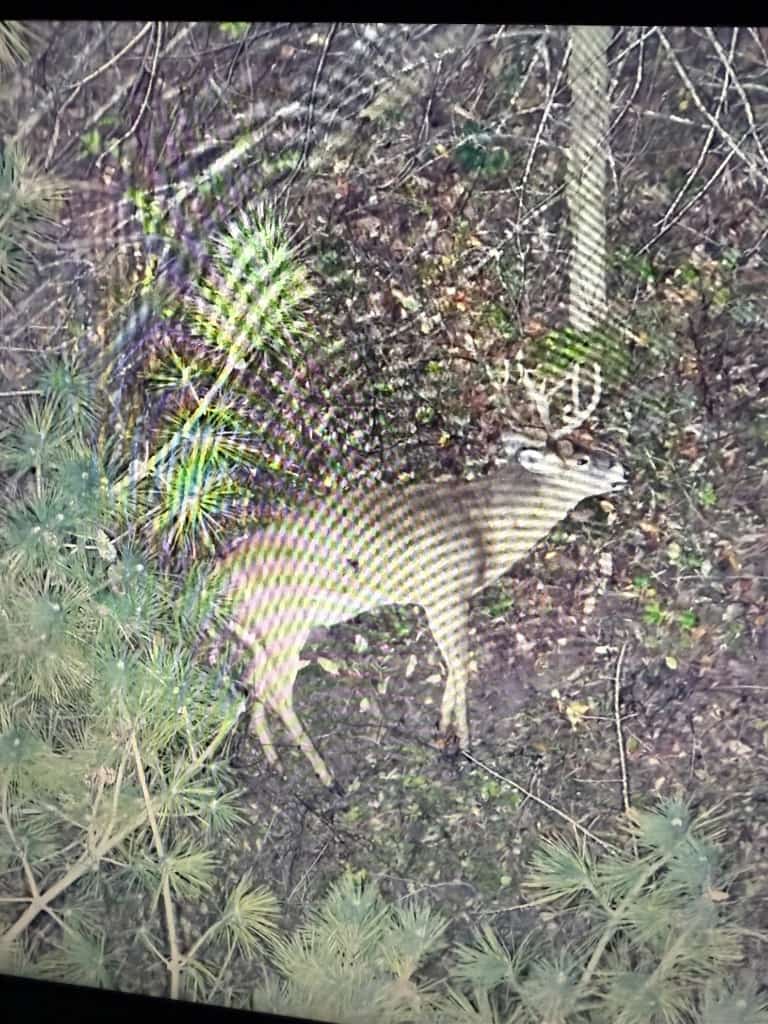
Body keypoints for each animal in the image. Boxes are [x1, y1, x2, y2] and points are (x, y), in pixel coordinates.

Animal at [215, 357, 626, 788]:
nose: (621, 468)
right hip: (283, 624)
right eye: (580, 459)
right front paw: (462, 742)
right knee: (276, 691)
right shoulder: (445, 593)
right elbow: (461, 663)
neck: (484, 527)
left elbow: (453, 664)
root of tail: (217, 578)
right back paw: (326, 777)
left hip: (262, 635)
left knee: (252, 684)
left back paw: (274, 762)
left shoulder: (443, 599)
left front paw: (442, 730)